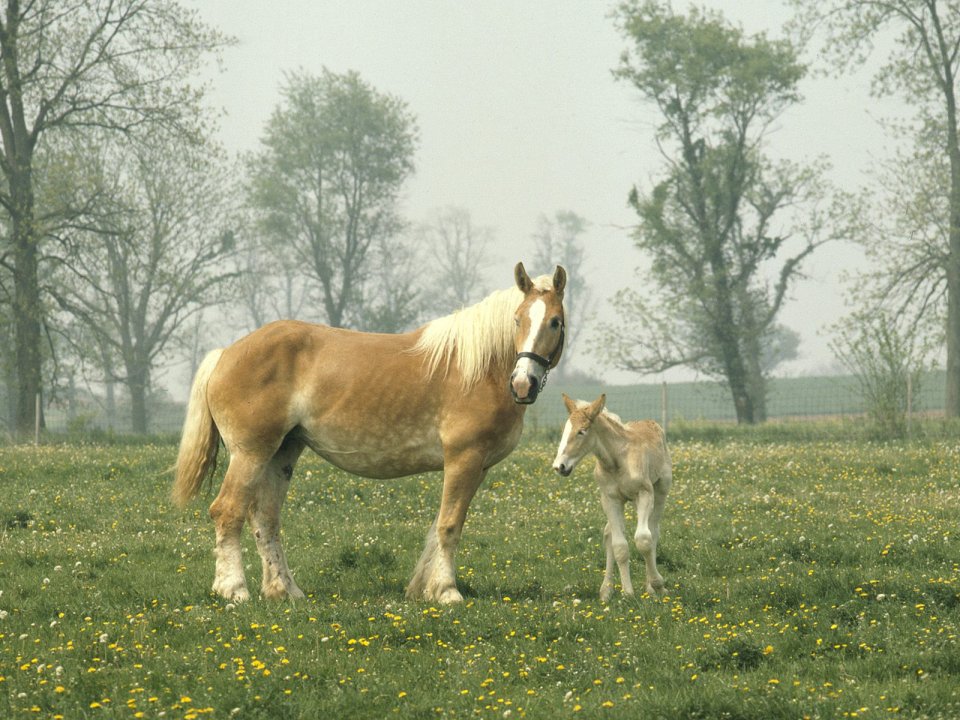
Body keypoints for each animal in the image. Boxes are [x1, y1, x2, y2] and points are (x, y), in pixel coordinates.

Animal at [172, 262, 566, 604]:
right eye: (517, 320)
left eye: (555, 322)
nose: (523, 384)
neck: (481, 368)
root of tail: (225, 353)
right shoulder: (463, 460)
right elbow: (449, 526)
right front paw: (447, 591)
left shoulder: (477, 467)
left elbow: (437, 527)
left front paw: (422, 588)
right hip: (250, 453)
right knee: (227, 511)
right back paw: (234, 589)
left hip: (280, 454)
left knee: (266, 520)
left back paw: (285, 591)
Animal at [552, 393, 671, 601]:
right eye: (565, 430)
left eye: (582, 431)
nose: (559, 466)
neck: (617, 460)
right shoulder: (610, 499)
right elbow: (619, 546)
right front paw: (627, 593)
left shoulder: (645, 493)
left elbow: (644, 539)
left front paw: (658, 585)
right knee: (609, 533)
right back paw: (606, 590)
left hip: (660, 490)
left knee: (653, 531)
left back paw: (651, 587)